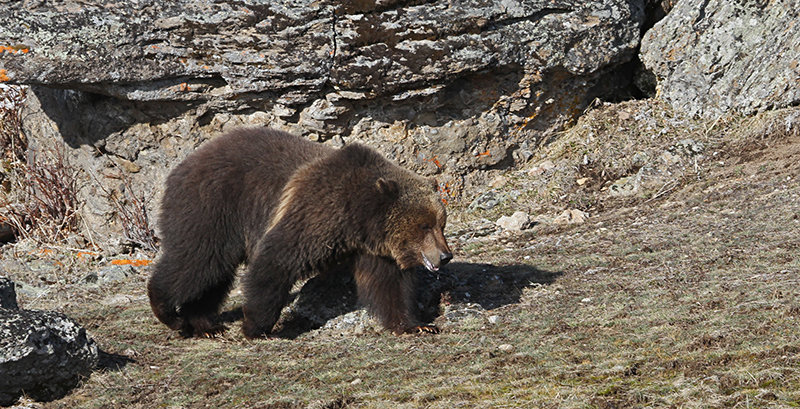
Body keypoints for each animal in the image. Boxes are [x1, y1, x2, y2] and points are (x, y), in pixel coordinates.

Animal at [147, 127, 454, 338]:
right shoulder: (316, 212)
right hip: (212, 207)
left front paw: (417, 325)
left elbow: (390, 286)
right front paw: (255, 326)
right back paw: (168, 312)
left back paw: (204, 324)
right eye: (424, 225)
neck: (357, 219)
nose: (445, 256)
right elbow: (276, 261)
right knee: (197, 261)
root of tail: (184, 164)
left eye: (441, 223)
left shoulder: (377, 250)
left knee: (214, 275)